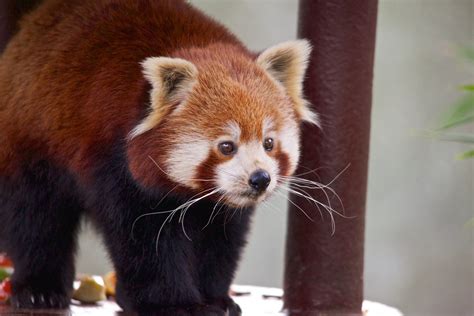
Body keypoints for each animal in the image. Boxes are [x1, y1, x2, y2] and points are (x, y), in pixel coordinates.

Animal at [0, 0, 318, 314]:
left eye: (268, 143)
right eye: (227, 146)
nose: (260, 179)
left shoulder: (222, 207)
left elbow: (220, 242)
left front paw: (215, 299)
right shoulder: (116, 167)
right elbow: (144, 241)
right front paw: (171, 303)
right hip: (32, 144)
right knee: (36, 218)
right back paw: (39, 289)